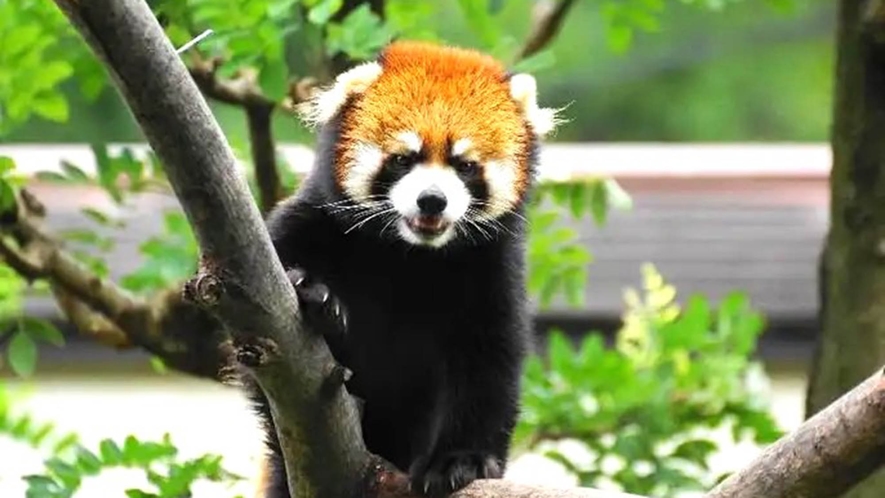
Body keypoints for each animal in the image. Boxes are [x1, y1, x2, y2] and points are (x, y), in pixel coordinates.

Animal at [245, 40, 560, 496]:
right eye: (402, 159)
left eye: (465, 165)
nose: (432, 200)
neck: (409, 256)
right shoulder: (305, 224)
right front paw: (310, 290)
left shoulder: (493, 273)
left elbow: (490, 364)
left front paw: (462, 459)